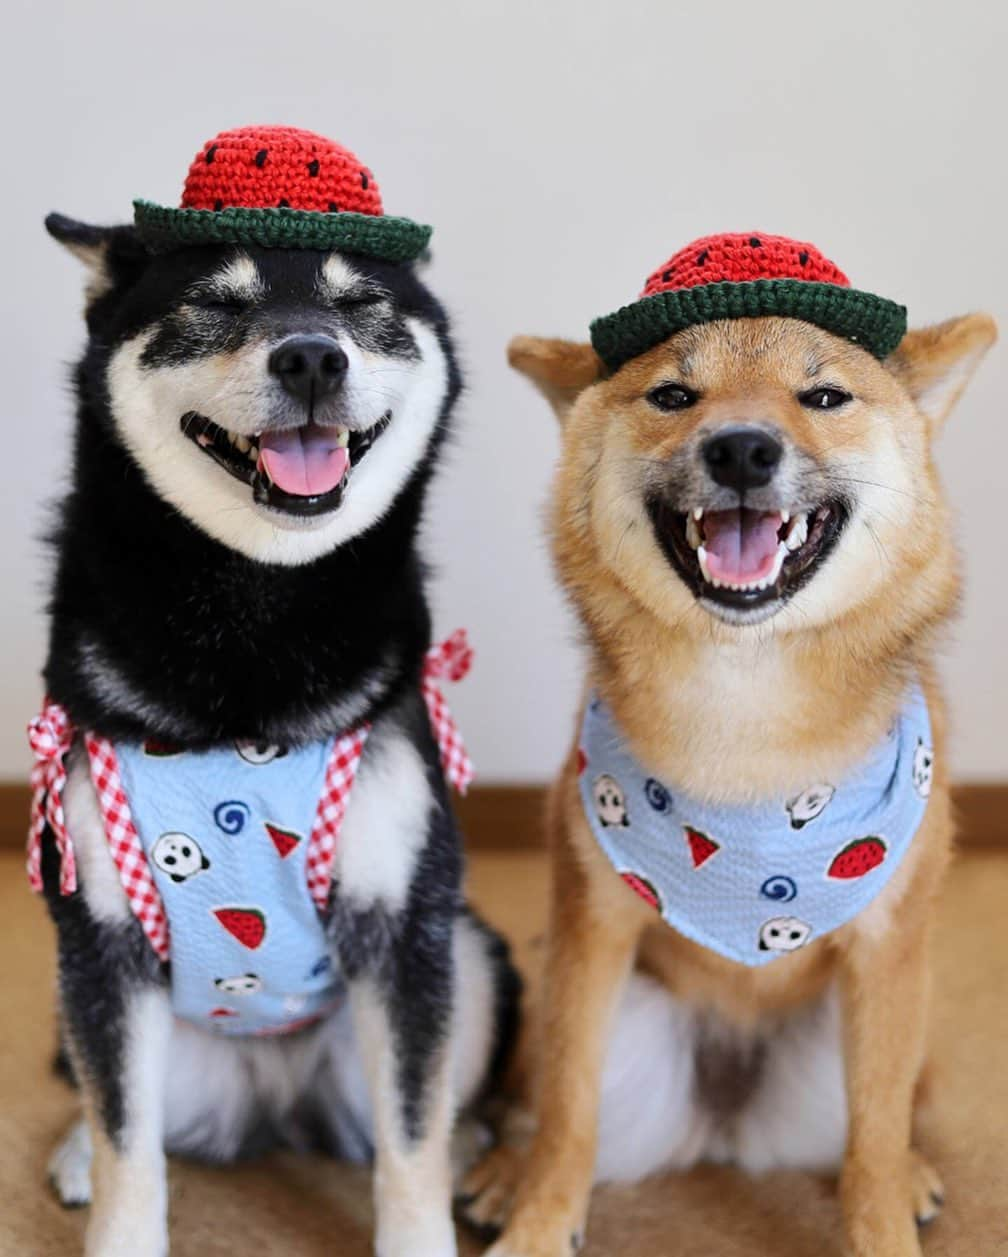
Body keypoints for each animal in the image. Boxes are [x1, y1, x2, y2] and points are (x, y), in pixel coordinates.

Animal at [465, 231, 995, 1251]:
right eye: (675, 395)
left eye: (823, 397)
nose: (743, 446)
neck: (745, 729)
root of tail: (726, 1111)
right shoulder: (592, 929)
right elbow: (568, 1111)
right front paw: (540, 1219)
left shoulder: (887, 949)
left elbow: (874, 1139)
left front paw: (883, 1223)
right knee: (543, 1098)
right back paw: (507, 1171)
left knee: (891, 1114)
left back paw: (915, 1172)